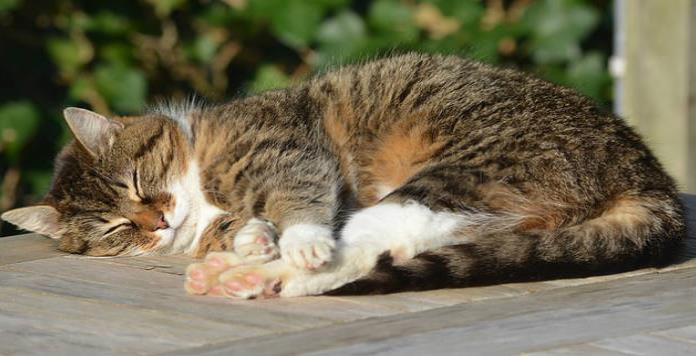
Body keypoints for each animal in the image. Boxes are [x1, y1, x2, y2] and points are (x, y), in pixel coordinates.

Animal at [0, 52, 684, 298]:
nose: (156, 221)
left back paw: (259, 276)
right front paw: (250, 239)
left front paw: (285, 240)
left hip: (456, 173)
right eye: (116, 229)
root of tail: (647, 174)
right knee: (387, 248)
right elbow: (254, 225)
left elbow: (300, 202)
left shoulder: (288, 149)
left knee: (353, 248)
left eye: (139, 184)